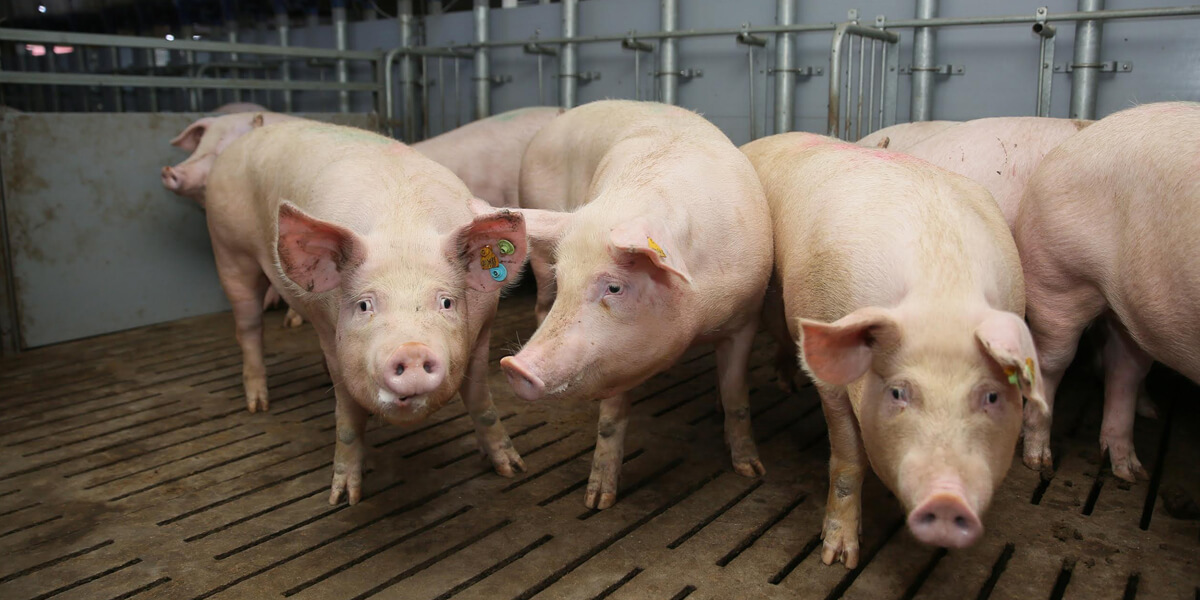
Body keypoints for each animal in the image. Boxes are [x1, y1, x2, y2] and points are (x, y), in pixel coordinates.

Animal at [206, 119, 530, 504]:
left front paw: (511, 469)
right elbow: (347, 417)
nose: (412, 350)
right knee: (248, 325)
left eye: (446, 302)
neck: (403, 229)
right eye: (364, 305)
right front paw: (344, 498)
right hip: (228, 249)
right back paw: (258, 405)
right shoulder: (329, 332)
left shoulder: (483, 326)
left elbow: (481, 399)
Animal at [499, 99, 772, 511]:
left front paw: (751, 471)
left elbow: (736, 395)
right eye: (567, 281)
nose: (514, 367)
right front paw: (597, 502)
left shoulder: (747, 315)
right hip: (540, 248)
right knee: (540, 304)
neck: (700, 311)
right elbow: (612, 419)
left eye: (614, 287)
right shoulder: (611, 357)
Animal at [744, 131, 1046, 566]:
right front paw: (838, 558)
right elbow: (849, 458)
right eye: (898, 392)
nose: (948, 499)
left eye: (990, 396)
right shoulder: (832, 377)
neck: (942, 292)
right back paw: (787, 384)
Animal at [1012, 100, 1200, 480]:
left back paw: (1130, 472)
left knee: (1124, 369)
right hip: (1060, 279)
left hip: (1137, 306)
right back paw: (1039, 461)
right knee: (1053, 363)